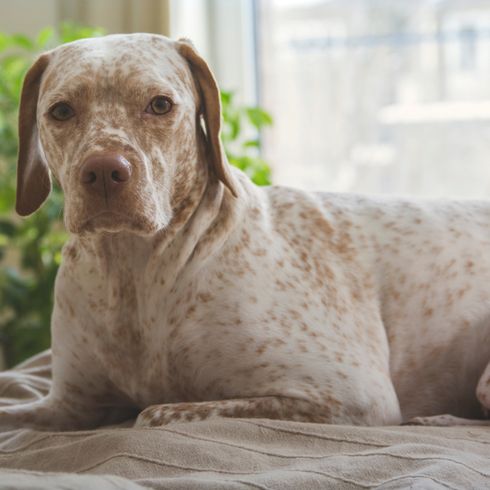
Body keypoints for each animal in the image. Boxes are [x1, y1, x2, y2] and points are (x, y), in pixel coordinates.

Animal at [0, 32, 490, 428]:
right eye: (61, 111)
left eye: (160, 104)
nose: (104, 171)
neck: (135, 276)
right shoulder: (68, 405)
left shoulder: (350, 393)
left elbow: (154, 412)